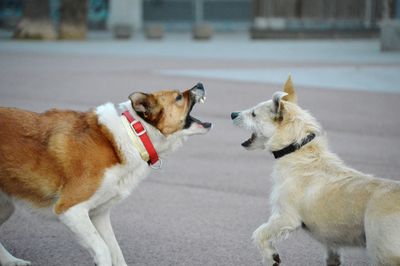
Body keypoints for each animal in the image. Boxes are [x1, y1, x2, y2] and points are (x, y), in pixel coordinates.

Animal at [231, 77, 400, 266]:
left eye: (254, 114)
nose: (232, 114)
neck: (297, 149)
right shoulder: (331, 242)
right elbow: (332, 256)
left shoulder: (286, 217)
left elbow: (260, 233)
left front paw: (270, 257)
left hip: (383, 253)